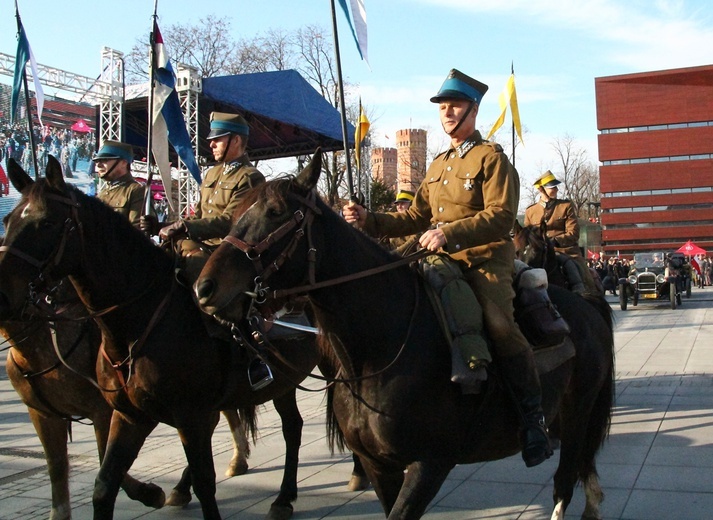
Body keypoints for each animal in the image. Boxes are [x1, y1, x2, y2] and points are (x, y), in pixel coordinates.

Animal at [0, 157, 364, 520]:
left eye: (46, 222)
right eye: (8, 220)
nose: (3, 293)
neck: (139, 321)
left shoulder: (189, 415)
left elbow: (205, 481)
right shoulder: (128, 415)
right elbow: (104, 485)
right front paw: (153, 492)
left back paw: (356, 473)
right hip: (284, 380)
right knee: (292, 427)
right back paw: (284, 497)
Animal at [192, 151, 616, 520]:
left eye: (276, 212)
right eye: (233, 215)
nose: (205, 288)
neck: (375, 351)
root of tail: (585, 305)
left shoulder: (430, 464)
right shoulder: (380, 466)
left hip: (577, 415)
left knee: (565, 480)